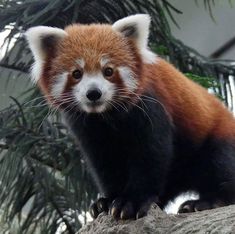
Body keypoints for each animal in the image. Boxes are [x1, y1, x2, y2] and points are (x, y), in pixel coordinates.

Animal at [25, 14, 235, 219]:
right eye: (77, 73)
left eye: (108, 71)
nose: (93, 93)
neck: (105, 116)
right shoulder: (88, 129)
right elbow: (105, 163)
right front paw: (108, 201)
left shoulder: (149, 107)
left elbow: (150, 154)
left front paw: (132, 201)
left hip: (218, 138)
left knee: (220, 164)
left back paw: (206, 202)